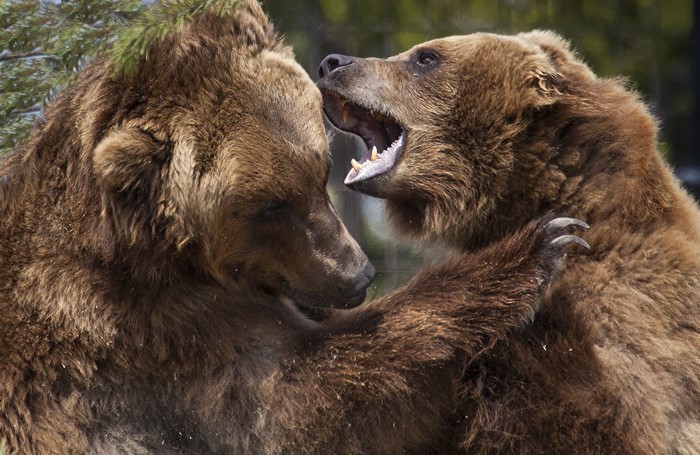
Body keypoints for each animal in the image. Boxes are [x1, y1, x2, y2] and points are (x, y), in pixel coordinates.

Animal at [0, 3, 587, 454]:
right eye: (266, 207)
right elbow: (307, 401)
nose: (358, 276)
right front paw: (539, 245)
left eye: (319, 170)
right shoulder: (154, 341)